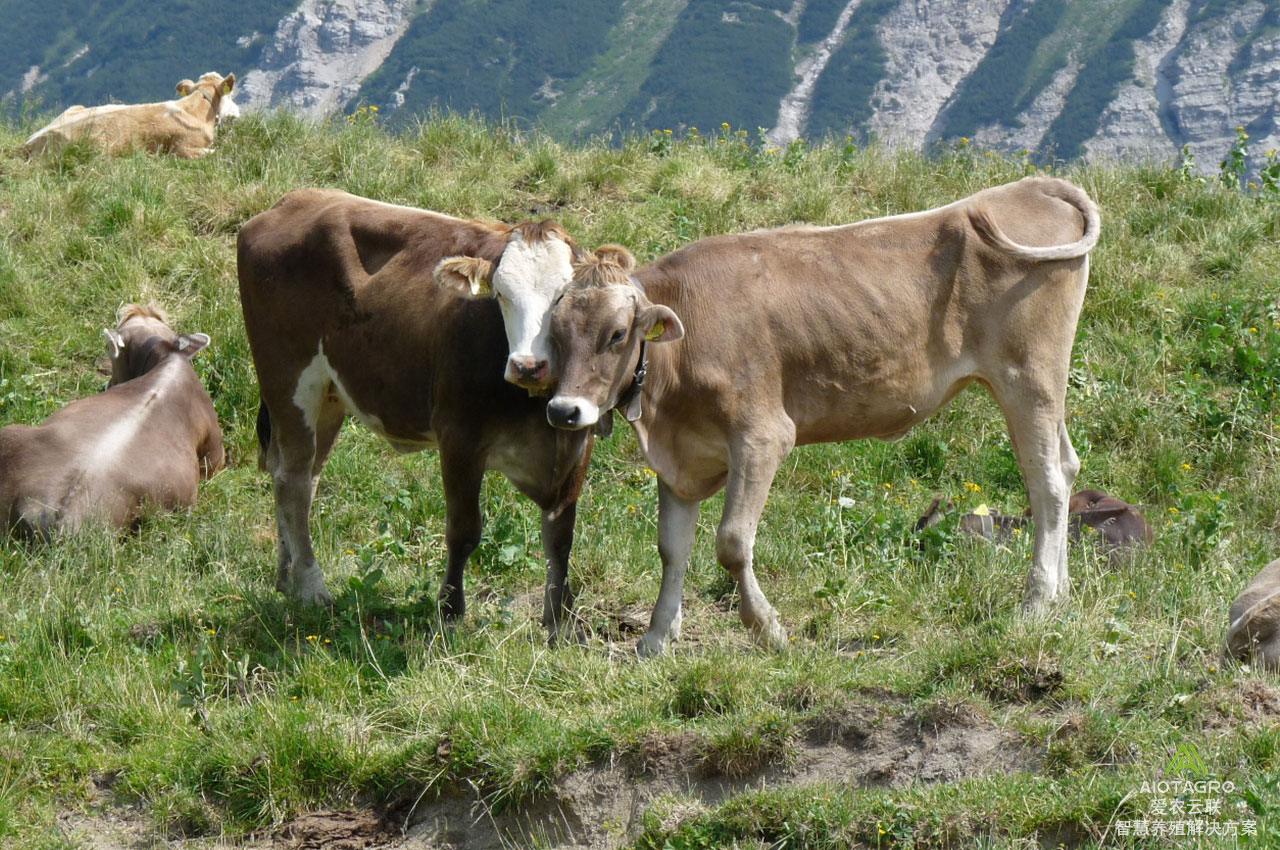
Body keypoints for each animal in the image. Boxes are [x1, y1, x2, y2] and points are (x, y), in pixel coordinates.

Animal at [23, 71, 240, 159]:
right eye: (230, 94)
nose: (237, 113)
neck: (197, 109)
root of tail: (31, 141)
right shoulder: (183, 149)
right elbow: (219, 152)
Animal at [240, 185, 593, 637]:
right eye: (500, 294)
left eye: (564, 297)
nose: (528, 365)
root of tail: (294, 199)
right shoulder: (459, 438)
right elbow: (464, 531)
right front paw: (450, 612)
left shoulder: (577, 442)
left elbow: (561, 536)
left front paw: (559, 622)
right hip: (288, 380)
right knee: (294, 481)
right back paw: (311, 587)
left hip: (329, 395)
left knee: (302, 477)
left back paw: (287, 577)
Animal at [542, 177, 1100, 655]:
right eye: (555, 331)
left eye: (617, 334)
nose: (564, 410)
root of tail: (1031, 185)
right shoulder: (682, 457)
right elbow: (671, 549)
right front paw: (657, 639)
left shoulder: (763, 436)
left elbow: (731, 543)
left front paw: (768, 630)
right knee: (1066, 467)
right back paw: (1063, 595)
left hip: (1029, 376)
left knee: (1047, 482)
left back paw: (1037, 601)